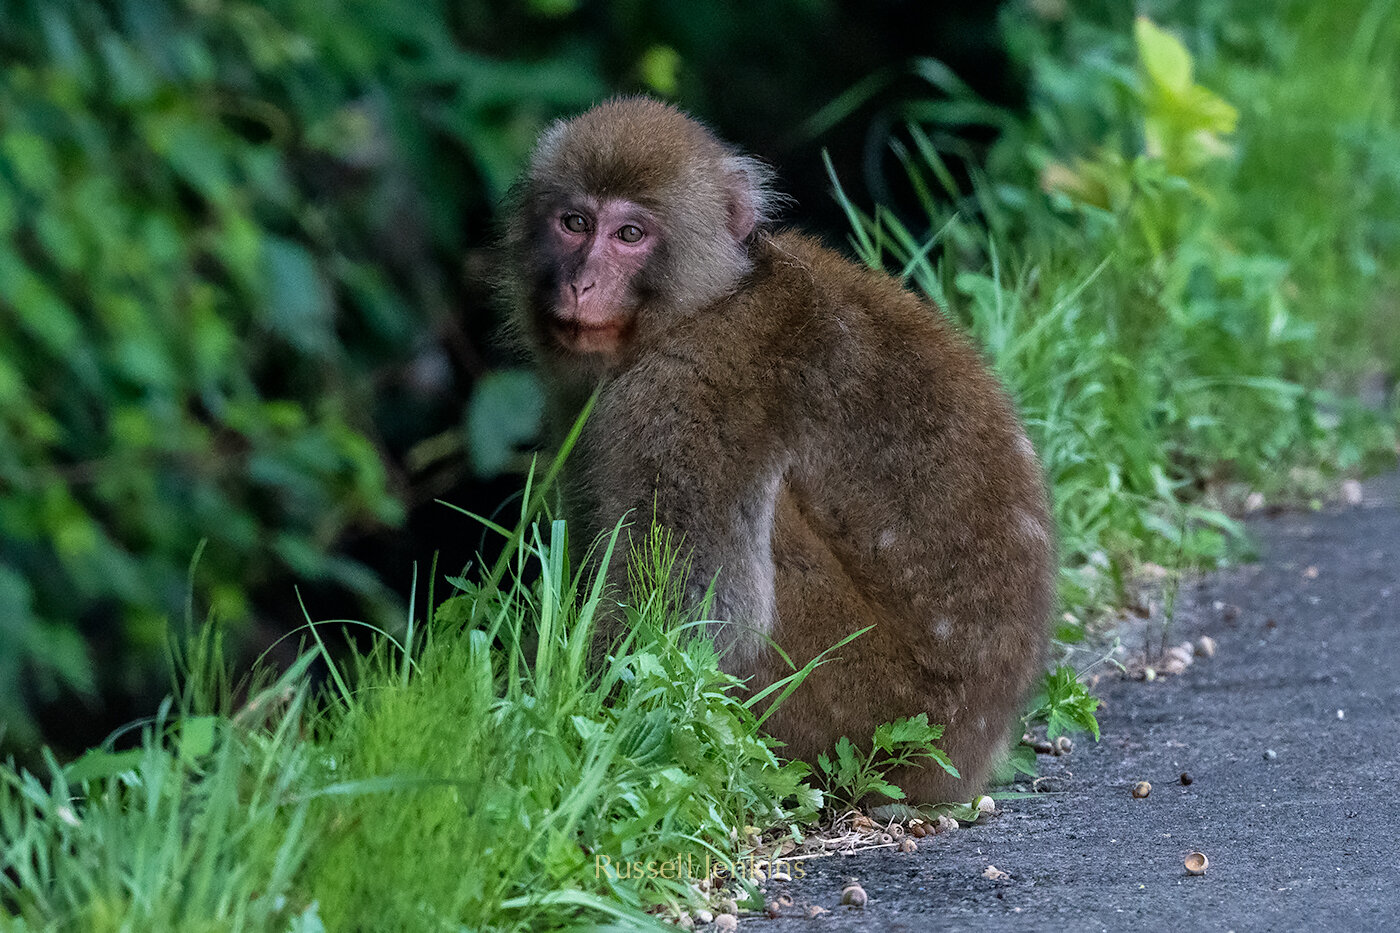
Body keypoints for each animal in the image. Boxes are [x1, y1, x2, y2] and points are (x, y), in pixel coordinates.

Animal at [500, 97, 1053, 803]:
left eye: (629, 235)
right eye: (574, 224)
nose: (581, 284)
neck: (707, 302)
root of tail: (971, 752)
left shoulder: (684, 393)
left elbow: (706, 615)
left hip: (866, 710)